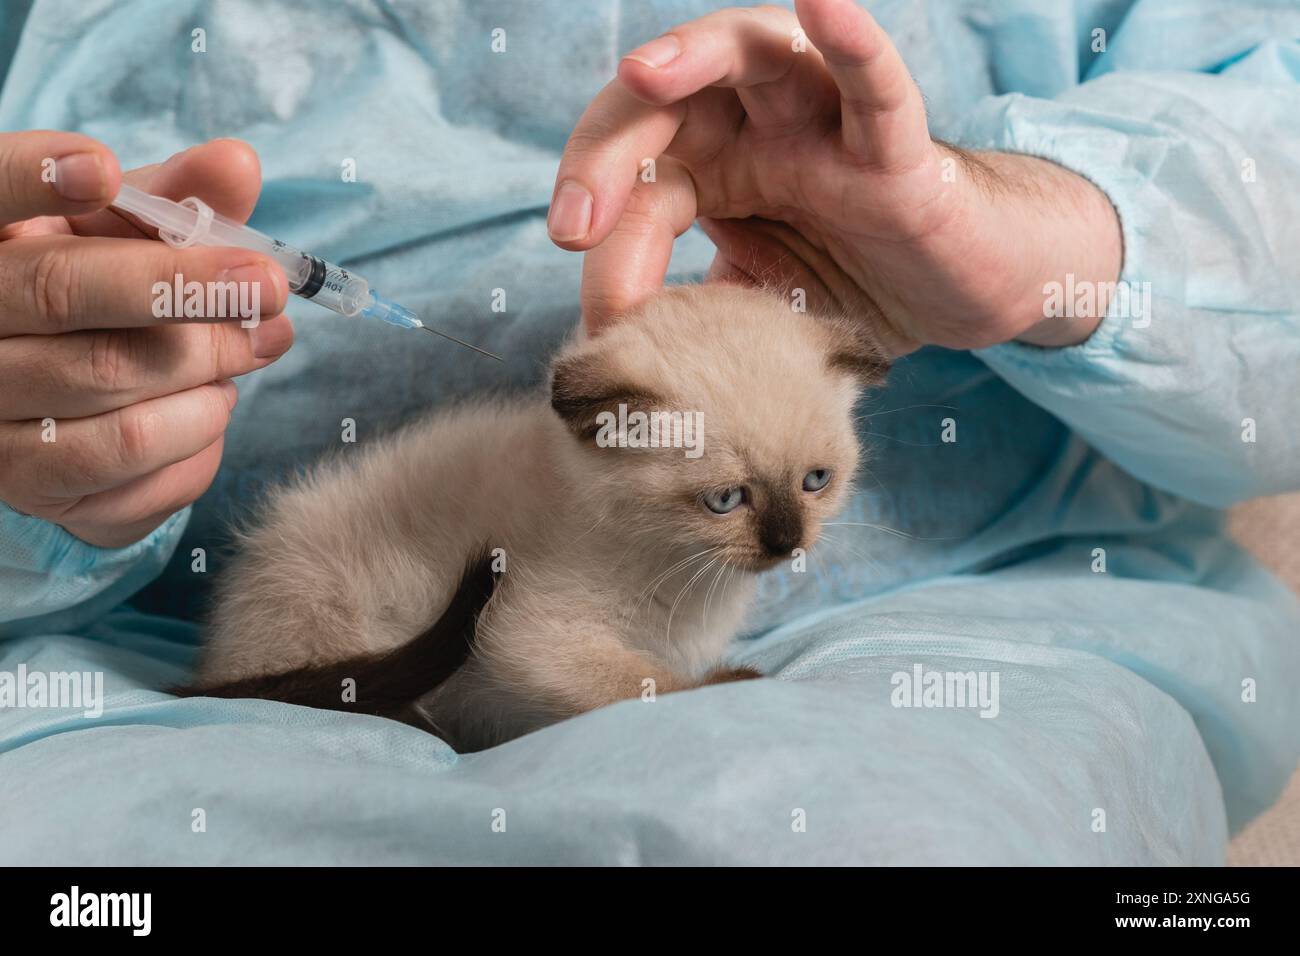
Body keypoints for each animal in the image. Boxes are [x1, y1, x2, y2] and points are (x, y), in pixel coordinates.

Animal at [189, 286, 883, 754]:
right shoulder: (530, 634)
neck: (687, 577)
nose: (786, 543)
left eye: (815, 482)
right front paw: (732, 683)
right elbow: (646, 682)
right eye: (725, 500)